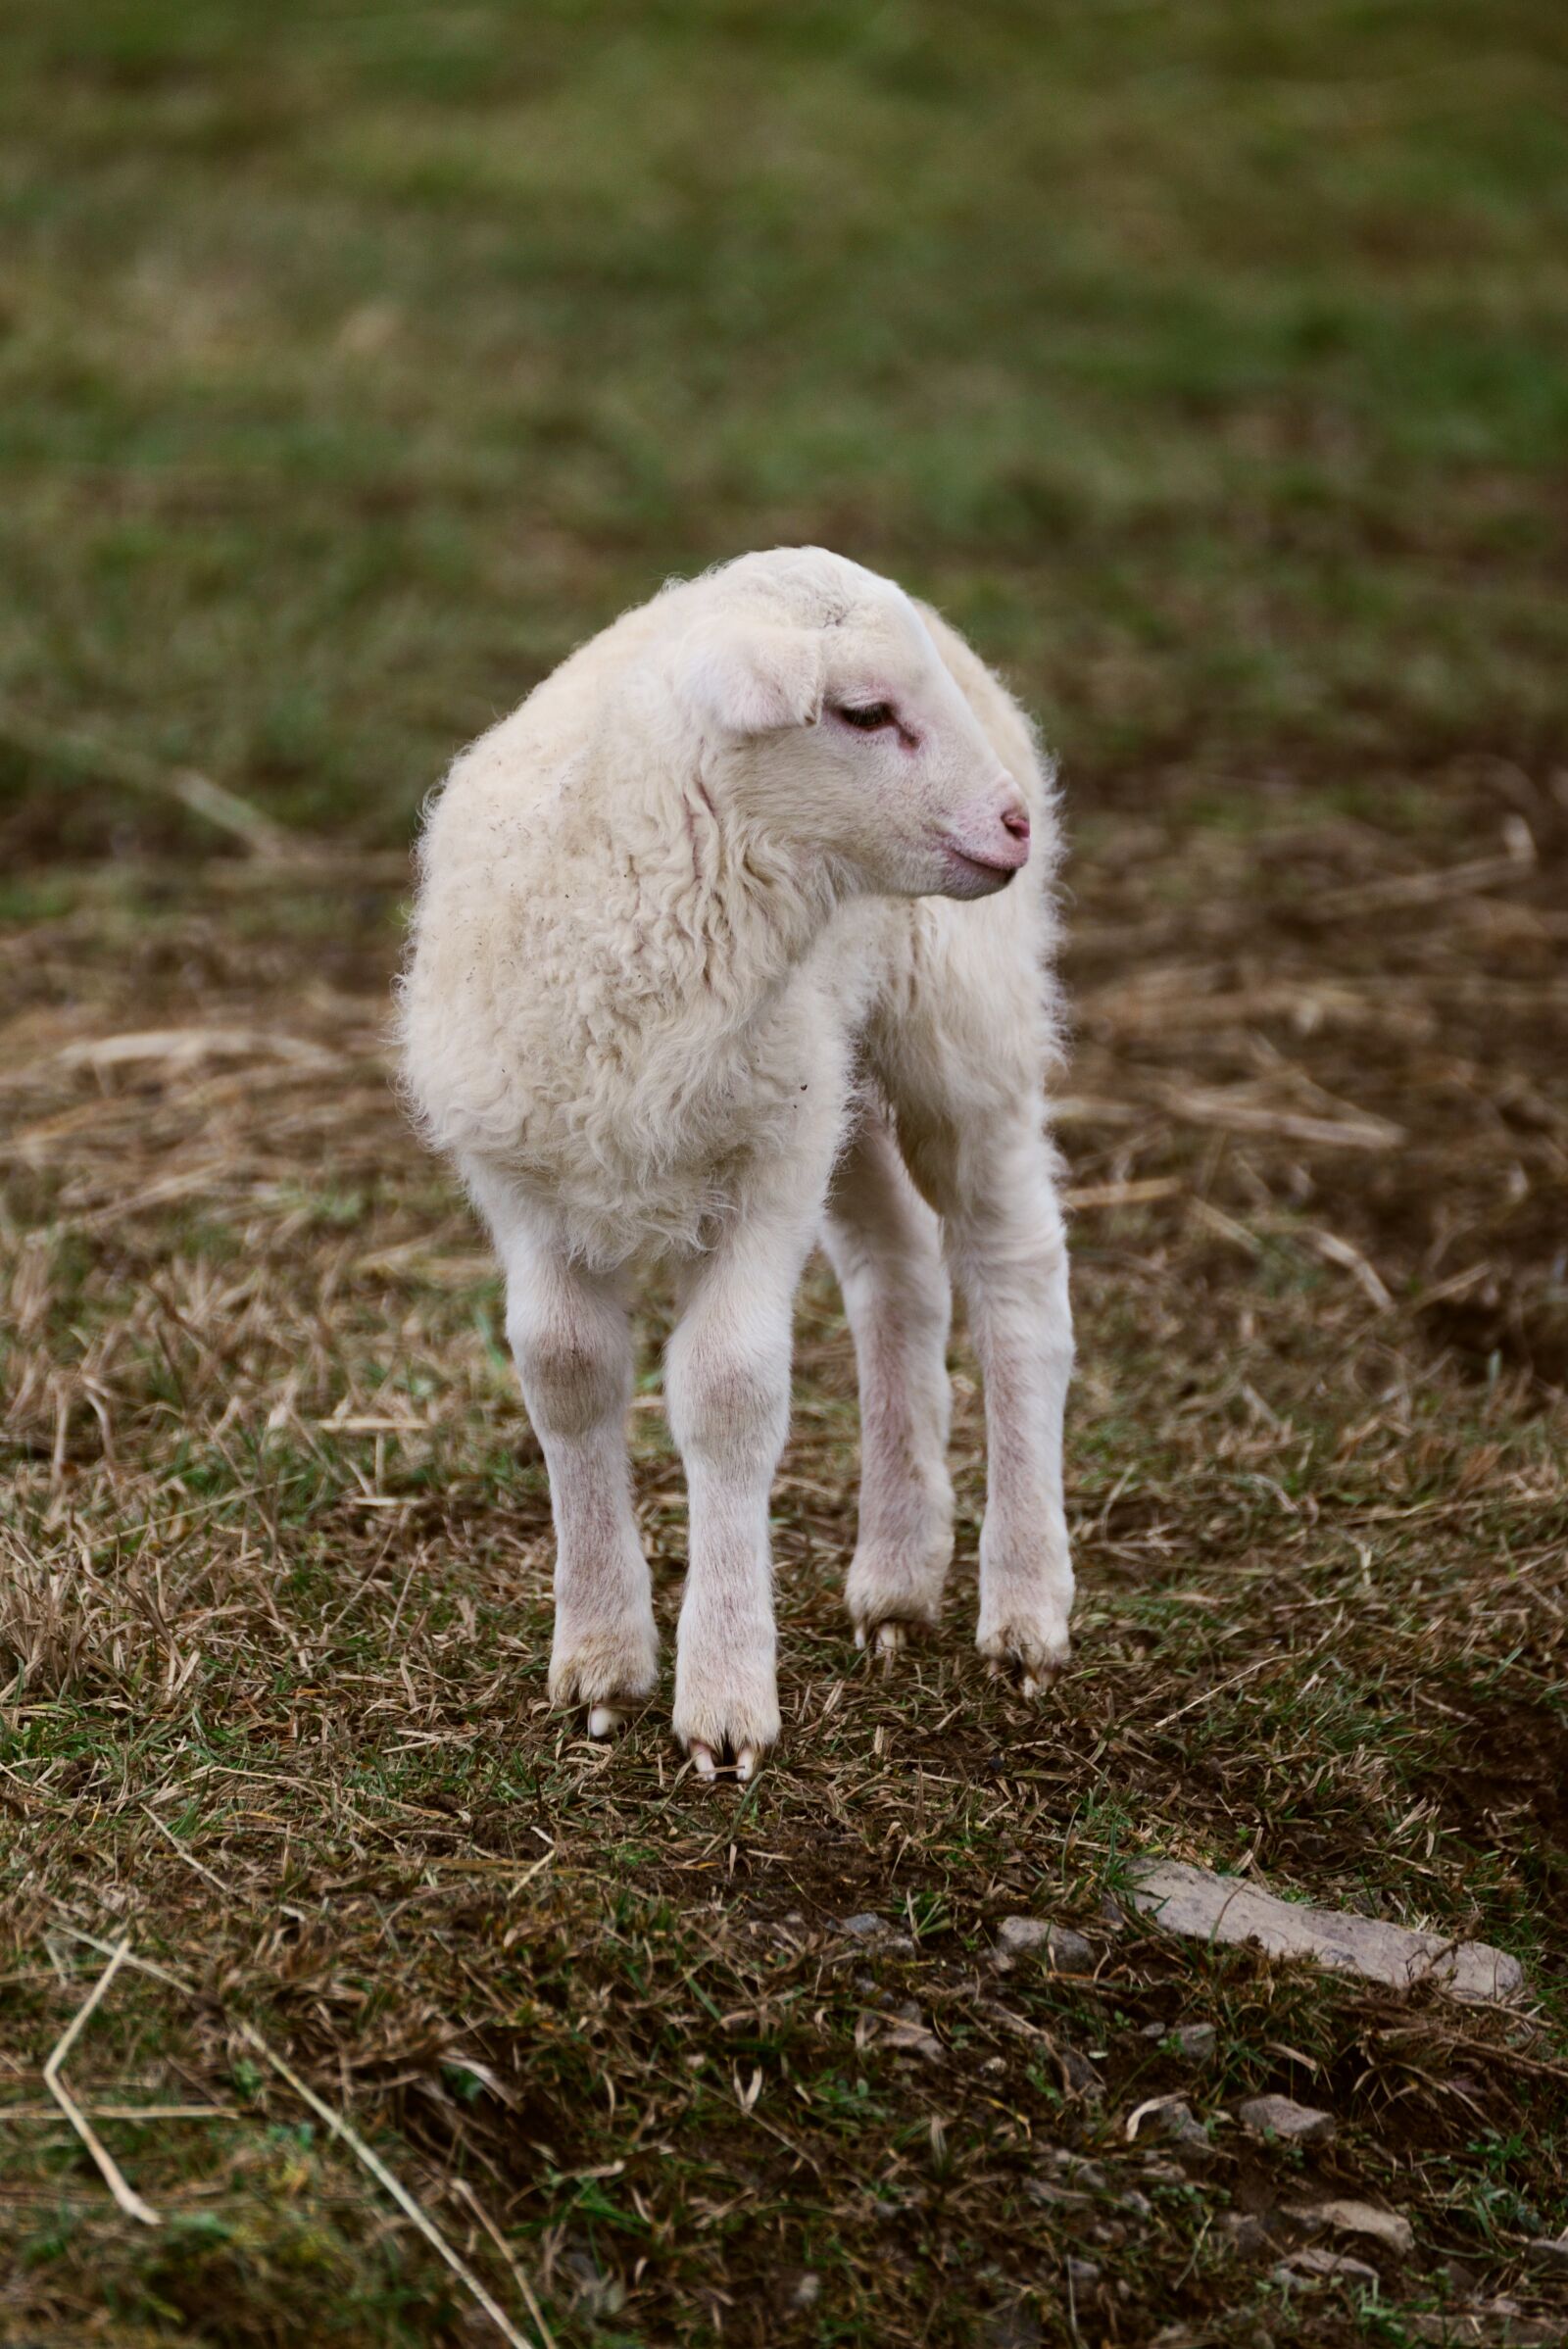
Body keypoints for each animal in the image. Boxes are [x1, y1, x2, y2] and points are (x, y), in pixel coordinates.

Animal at [399, 546, 1073, 1781]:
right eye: (863, 713)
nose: (1010, 826)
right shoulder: (524, 1177)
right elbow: (563, 1368)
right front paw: (599, 1661)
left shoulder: (762, 1176)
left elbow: (725, 1388)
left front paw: (721, 1700)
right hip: (830, 1082)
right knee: (901, 1270)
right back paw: (897, 1576)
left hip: (959, 1026)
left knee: (1015, 1277)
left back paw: (1024, 1605)